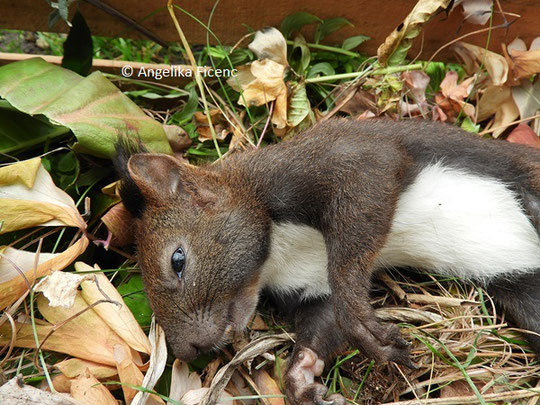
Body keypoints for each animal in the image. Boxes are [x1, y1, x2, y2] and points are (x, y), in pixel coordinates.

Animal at [113, 118, 540, 404]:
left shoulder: (342, 162)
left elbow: (352, 247)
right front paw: (302, 381)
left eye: (178, 259)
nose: (191, 350)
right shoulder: (311, 289)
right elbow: (321, 329)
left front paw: (364, 325)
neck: (277, 252)